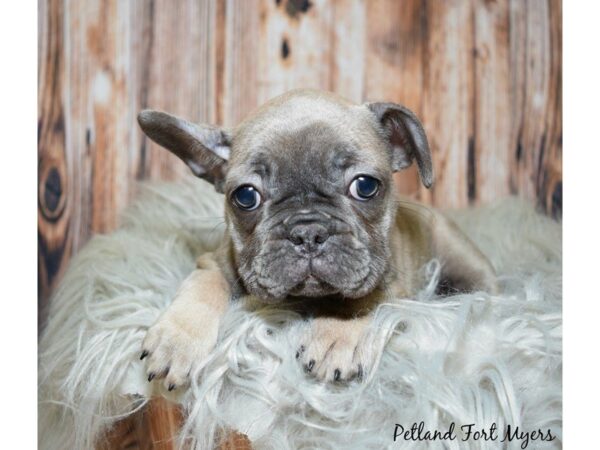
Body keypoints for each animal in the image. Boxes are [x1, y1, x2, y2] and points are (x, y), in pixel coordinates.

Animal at [137, 89, 496, 390]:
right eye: (245, 196)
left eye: (365, 186)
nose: (307, 232)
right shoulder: (214, 262)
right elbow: (204, 286)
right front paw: (177, 339)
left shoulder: (393, 280)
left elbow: (363, 297)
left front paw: (337, 333)